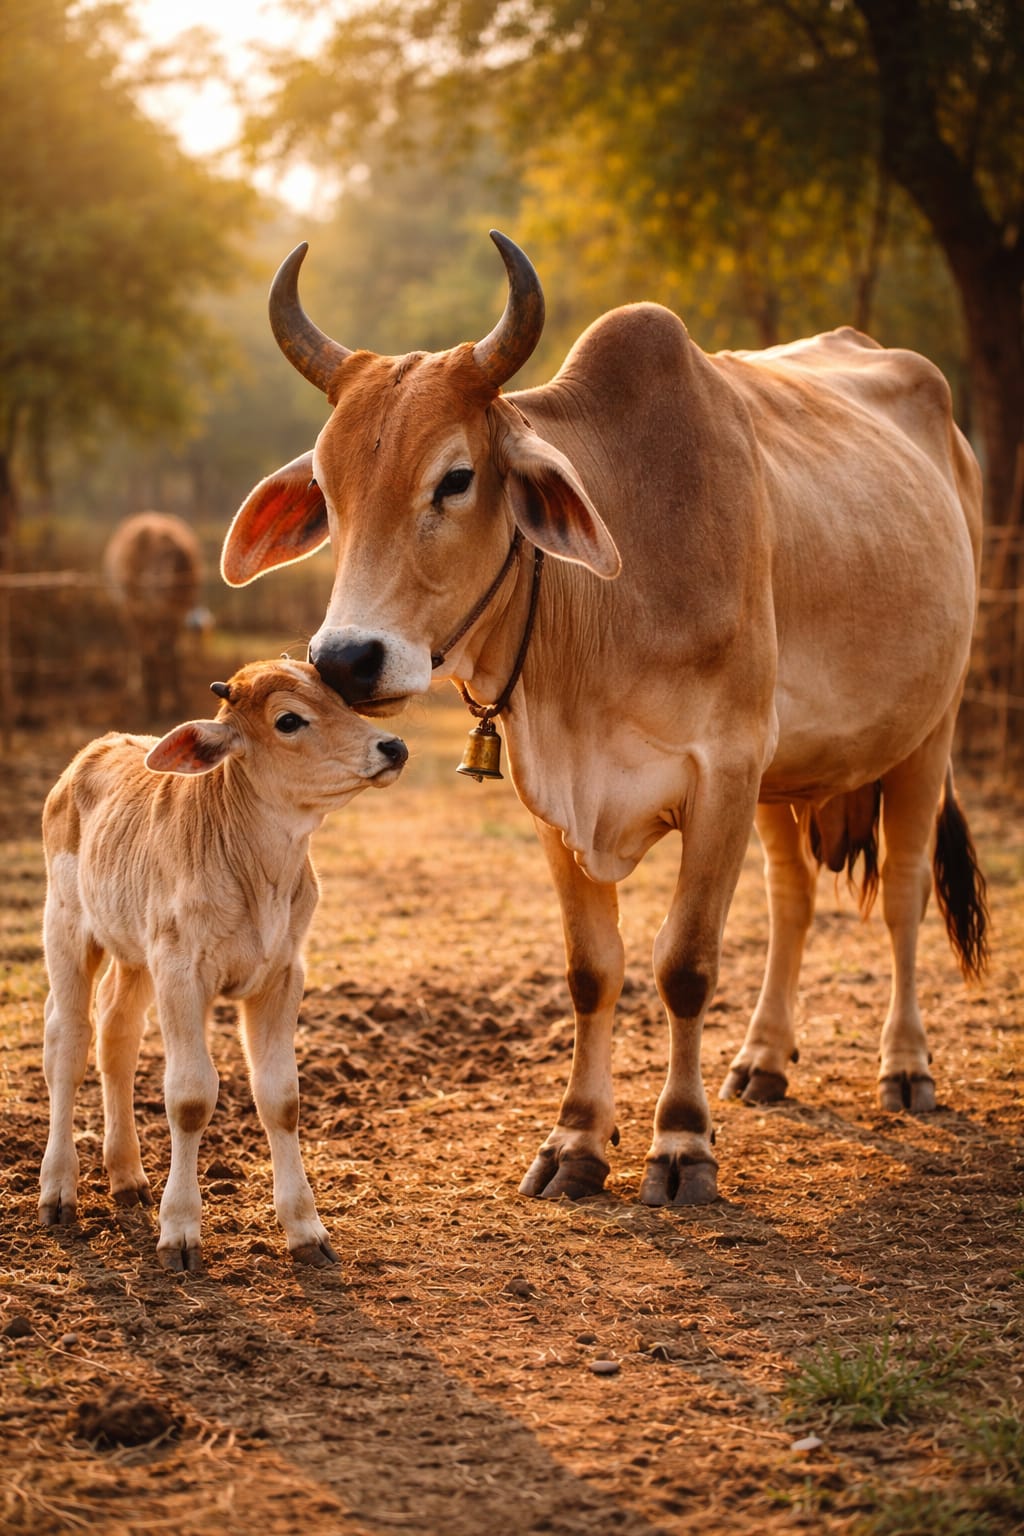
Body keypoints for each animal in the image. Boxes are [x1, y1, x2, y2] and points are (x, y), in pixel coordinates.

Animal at [38, 659, 407, 1268]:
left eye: (338, 697)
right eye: (289, 720)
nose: (393, 746)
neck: (260, 875)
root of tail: (93, 751)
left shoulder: (283, 973)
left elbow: (281, 1098)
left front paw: (306, 1230)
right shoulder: (180, 971)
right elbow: (190, 1097)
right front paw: (181, 1231)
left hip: (134, 953)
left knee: (117, 1036)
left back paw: (127, 1177)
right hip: (66, 927)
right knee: (68, 1044)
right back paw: (58, 1191)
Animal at [220, 231, 988, 1207]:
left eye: (456, 478)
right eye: (327, 484)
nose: (347, 659)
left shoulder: (724, 772)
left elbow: (685, 965)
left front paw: (683, 1144)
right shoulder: (559, 796)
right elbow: (594, 972)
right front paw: (577, 1141)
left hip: (931, 728)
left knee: (901, 894)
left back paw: (906, 1065)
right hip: (787, 776)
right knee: (793, 899)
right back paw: (765, 1060)